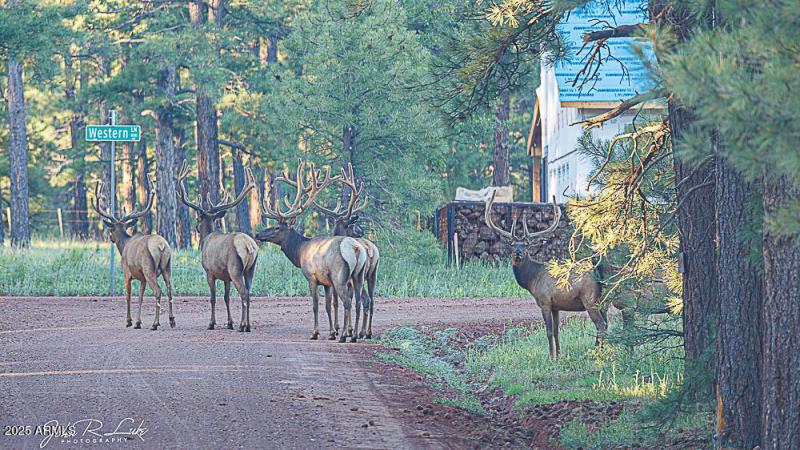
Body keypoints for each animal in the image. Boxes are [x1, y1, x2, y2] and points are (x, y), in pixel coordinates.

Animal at [91, 177, 175, 330]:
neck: (123, 246)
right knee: (170, 288)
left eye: (111, 230)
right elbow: (140, 297)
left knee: (158, 291)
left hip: (149, 269)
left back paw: (155, 324)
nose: (110, 238)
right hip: (167, 266)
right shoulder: (142, 278)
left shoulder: (126, 272)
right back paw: (172, 320)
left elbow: (128, 296)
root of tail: (161, 246)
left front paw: (129, 321)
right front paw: (138, 322)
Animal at [176, 161, 258, 332]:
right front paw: (229, 323)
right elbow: (226, 298)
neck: (206, 239)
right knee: (249, 291)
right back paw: (247, 325)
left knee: (244, 293)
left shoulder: (209, 271)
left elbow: (213, 298)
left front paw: (212, 323)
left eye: (197, 218)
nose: (196, 227)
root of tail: (249, 247)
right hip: (251, 268)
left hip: (235, 268)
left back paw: (243, 326)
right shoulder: (226, 277)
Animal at [255, 160, 368, 343]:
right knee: (358, 301)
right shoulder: (327, 283)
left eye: (277, 227)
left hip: (340, 277)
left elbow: (315, 305)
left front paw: (315, 333)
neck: (300, 252)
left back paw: (345, 335)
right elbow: (328, 306)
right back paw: (354, 335)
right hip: (358, 276)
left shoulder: (312, 277)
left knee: (347, 302)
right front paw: (331, 332)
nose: (258, 234)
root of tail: (356, 248)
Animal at [313, 163, 380, 339]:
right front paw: (346, 329)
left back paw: (357, 332)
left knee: (361, 300)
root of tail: (370, 249)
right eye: (352, 225)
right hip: (371, 274)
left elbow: (336, 301)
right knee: (370, 299)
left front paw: (338, 329)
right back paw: (366, 332)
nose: (361, 231)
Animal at [484, 192, 607, 358]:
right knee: (606, 324)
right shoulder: (556, 306)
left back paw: (597, 354)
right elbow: (556, 331)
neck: (532, 280)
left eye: (527, 245)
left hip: (590, 298)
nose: (518, 253)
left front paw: (551, 357)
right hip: (604, 301)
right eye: (512, 244)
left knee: (601, 325)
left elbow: (548, 332)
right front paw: (559, 355)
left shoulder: (545, 301)